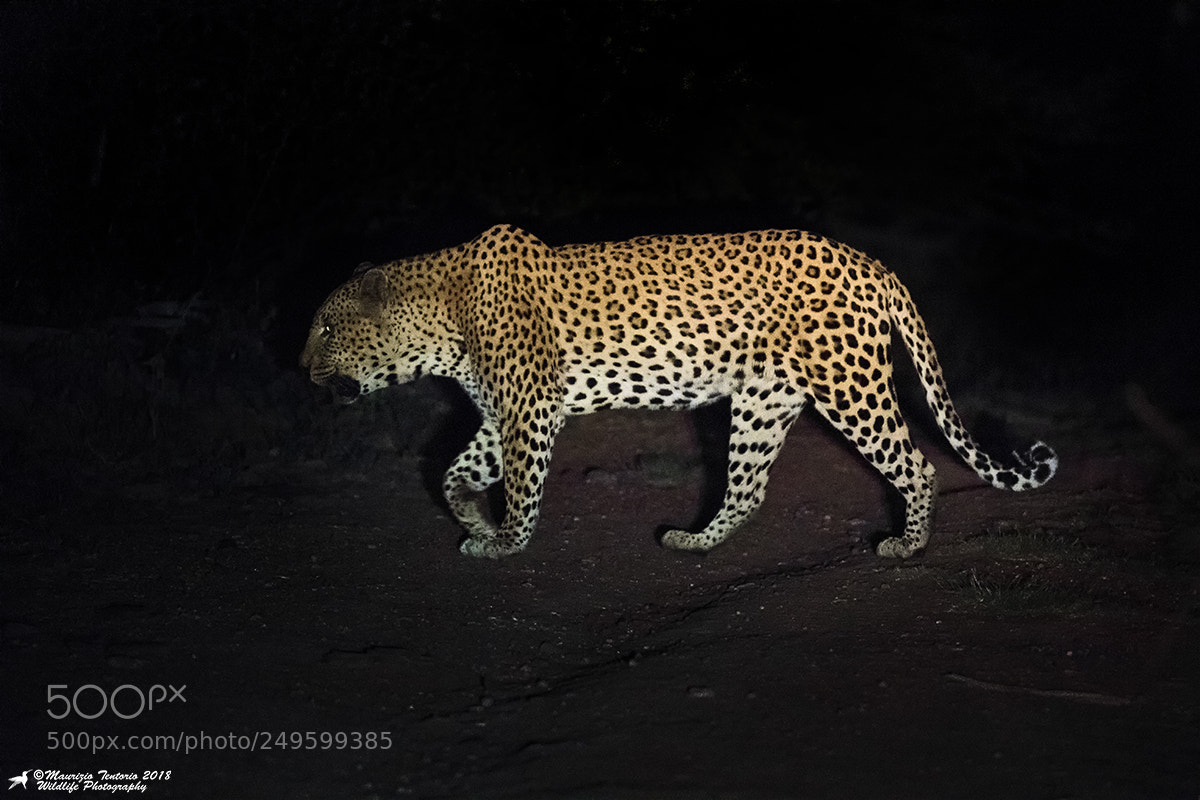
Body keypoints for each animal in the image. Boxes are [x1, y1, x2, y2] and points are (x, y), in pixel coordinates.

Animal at [301, 224, 1057, 559]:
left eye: (326, 328)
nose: (301, 369)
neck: (440, 323)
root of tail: (870, 261)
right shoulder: (497, 417)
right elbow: (453, 475)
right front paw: (478, 529)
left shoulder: (529, 413)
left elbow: (520, 488)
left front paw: (507, 540)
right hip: (761, 403)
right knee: (748, 489)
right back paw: (694, 540)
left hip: (851, 388)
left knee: (919, 465)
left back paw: (908, 546)